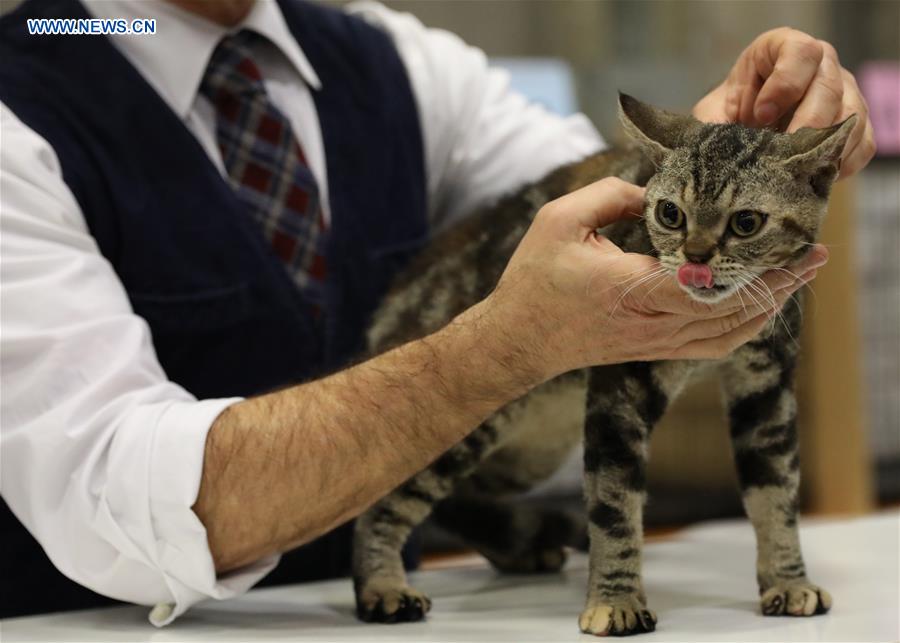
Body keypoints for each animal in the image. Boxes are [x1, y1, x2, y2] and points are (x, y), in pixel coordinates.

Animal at [350, 95, 852, 640]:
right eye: (670, 213)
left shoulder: (766, 388)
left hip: (533, 447)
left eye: (746, 223)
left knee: (460, 497)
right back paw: (382, 587)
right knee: (380, 499)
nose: (696, 255)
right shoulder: (619, 392)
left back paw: (520, 543)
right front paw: (616, 599)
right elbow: (614, 504)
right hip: (461, 423)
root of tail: (387, 309)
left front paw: (788, 579)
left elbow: (775, 491)